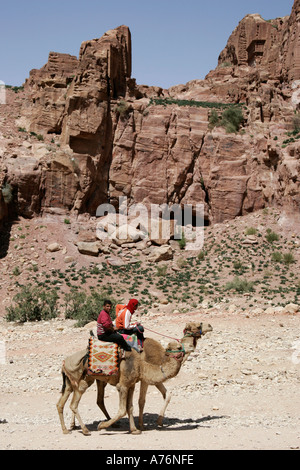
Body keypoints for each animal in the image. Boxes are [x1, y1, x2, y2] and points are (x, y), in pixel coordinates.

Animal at [56, 322, 211, 436]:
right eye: (197, 325)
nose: (209, 325)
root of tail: (64, 363)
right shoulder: (129, 384)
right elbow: (130, 406)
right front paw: (140, 425)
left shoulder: (132, 384)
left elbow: (131, 407)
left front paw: (136, 429)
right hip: (82, 380)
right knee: (74, 403)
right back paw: (85, 429)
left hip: (76, 382)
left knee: (63, 403)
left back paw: (67, 429)